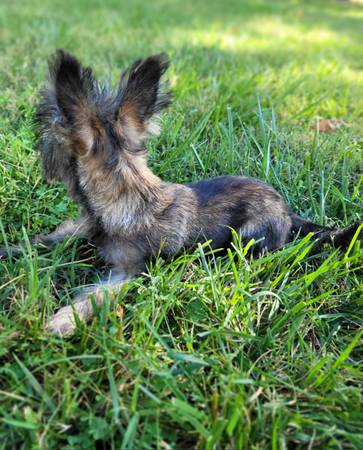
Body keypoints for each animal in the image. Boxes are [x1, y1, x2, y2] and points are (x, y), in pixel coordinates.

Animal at [1, 50, 362, 338]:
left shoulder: (128, 272)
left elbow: (95, 296)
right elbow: (45, 240)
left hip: (249, 237)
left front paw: (62, 321)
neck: (126, 191)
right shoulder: (79, 228)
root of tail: (287, 210)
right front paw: (11, 250)